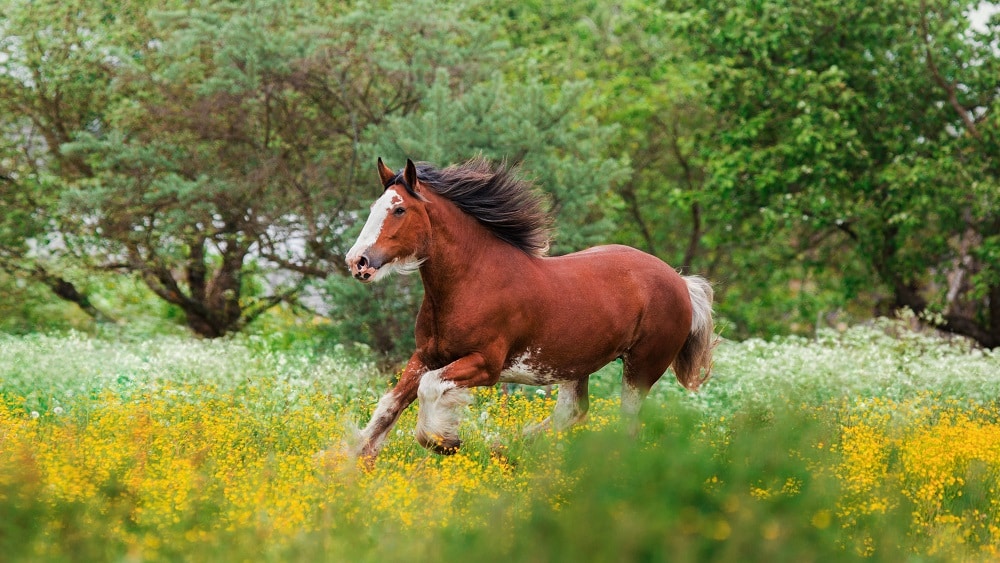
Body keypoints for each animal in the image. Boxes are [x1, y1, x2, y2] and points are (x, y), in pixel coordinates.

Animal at [348, 155, 716, 462]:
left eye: (399, 210)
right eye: (373, 207)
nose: (357, 261)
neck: (473, 281)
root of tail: (682, 283)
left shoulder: (486, 365)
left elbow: (429, 389)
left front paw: (443, 441)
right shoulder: (426, 356)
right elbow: (389, 405)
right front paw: (355, 462)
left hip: (641, 367)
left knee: (627, 424)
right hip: (575, 365)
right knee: (573, 412)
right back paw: (512, 448)